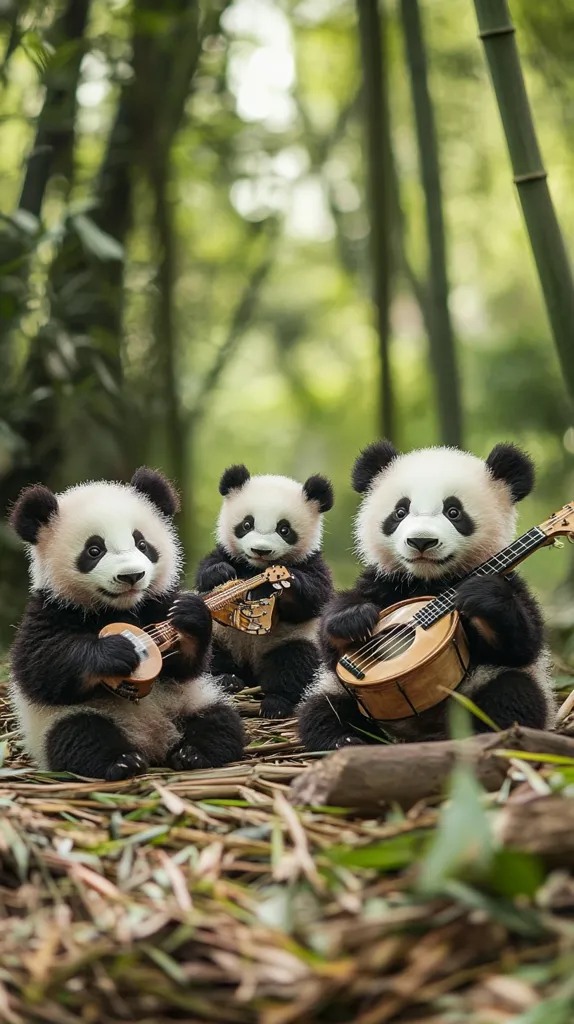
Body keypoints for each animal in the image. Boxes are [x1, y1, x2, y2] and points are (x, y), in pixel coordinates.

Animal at [8, 467, 245, 780]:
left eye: (142, 544)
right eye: (94, 550)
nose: (131, 576)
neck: (121, 608)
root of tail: (152, 741)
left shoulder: (157, 602)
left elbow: (189, 667)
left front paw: (190, 617)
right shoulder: (50, 609)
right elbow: (41, 668)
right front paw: (114, 651)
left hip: (194, 699)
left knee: (221, 721)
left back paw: (194, 752)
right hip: (60, 722)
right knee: (79, 735)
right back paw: (122, 761)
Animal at [195, 465, 334, 718]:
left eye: (284, 529)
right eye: (246, 524)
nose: (260, 550)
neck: (256, 568)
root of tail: (250, 673)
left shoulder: (312, 563)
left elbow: (313, 598)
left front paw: (281, 585)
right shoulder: (226, 554)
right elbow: (206, 573)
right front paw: (220, 574)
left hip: (293, 639)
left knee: (294, 662)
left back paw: (276, 703)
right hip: (220, 635)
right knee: (210, 655)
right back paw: (227, 680)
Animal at [298, 440, 555, 751]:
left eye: (454, 512)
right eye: (400, 512)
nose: (421, 541)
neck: (429, 581)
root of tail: (420, 731)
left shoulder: (510, 581)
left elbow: (523, 644)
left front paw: (482, 595)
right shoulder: (385, 580)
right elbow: (328, 647)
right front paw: (353, 618)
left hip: (485, 684)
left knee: (513, 694)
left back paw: (485, 736)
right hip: (344, 694)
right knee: (323, 709)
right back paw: (344, 740)